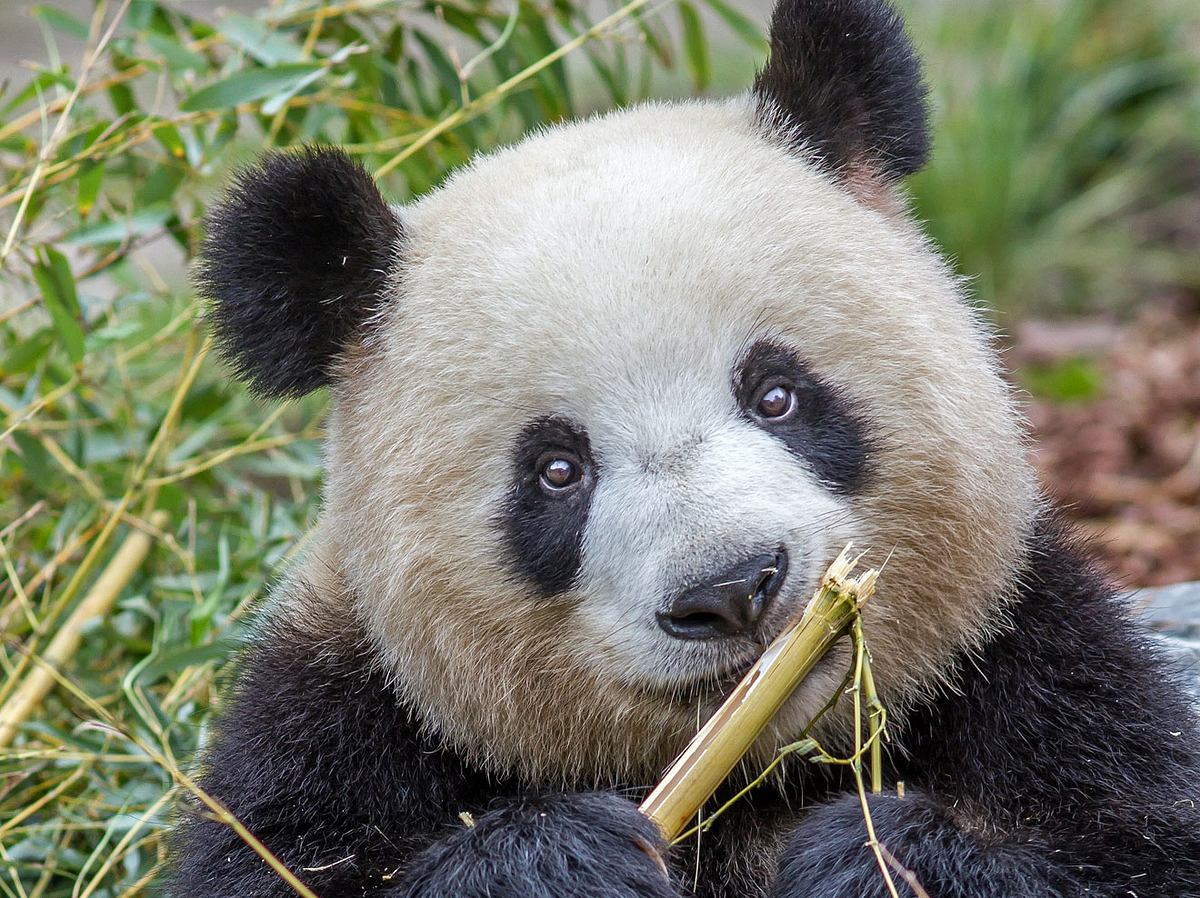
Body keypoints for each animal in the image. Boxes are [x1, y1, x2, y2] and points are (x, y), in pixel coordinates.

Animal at [169, 1, 1200, 897]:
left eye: (776, 394)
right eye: (557, 471)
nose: (733, 588)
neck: (761, 777)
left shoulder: (1037, 661)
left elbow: (1131, 845)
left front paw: (874, 858)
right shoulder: (335, 715)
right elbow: (281, 861)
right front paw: (562, 864)